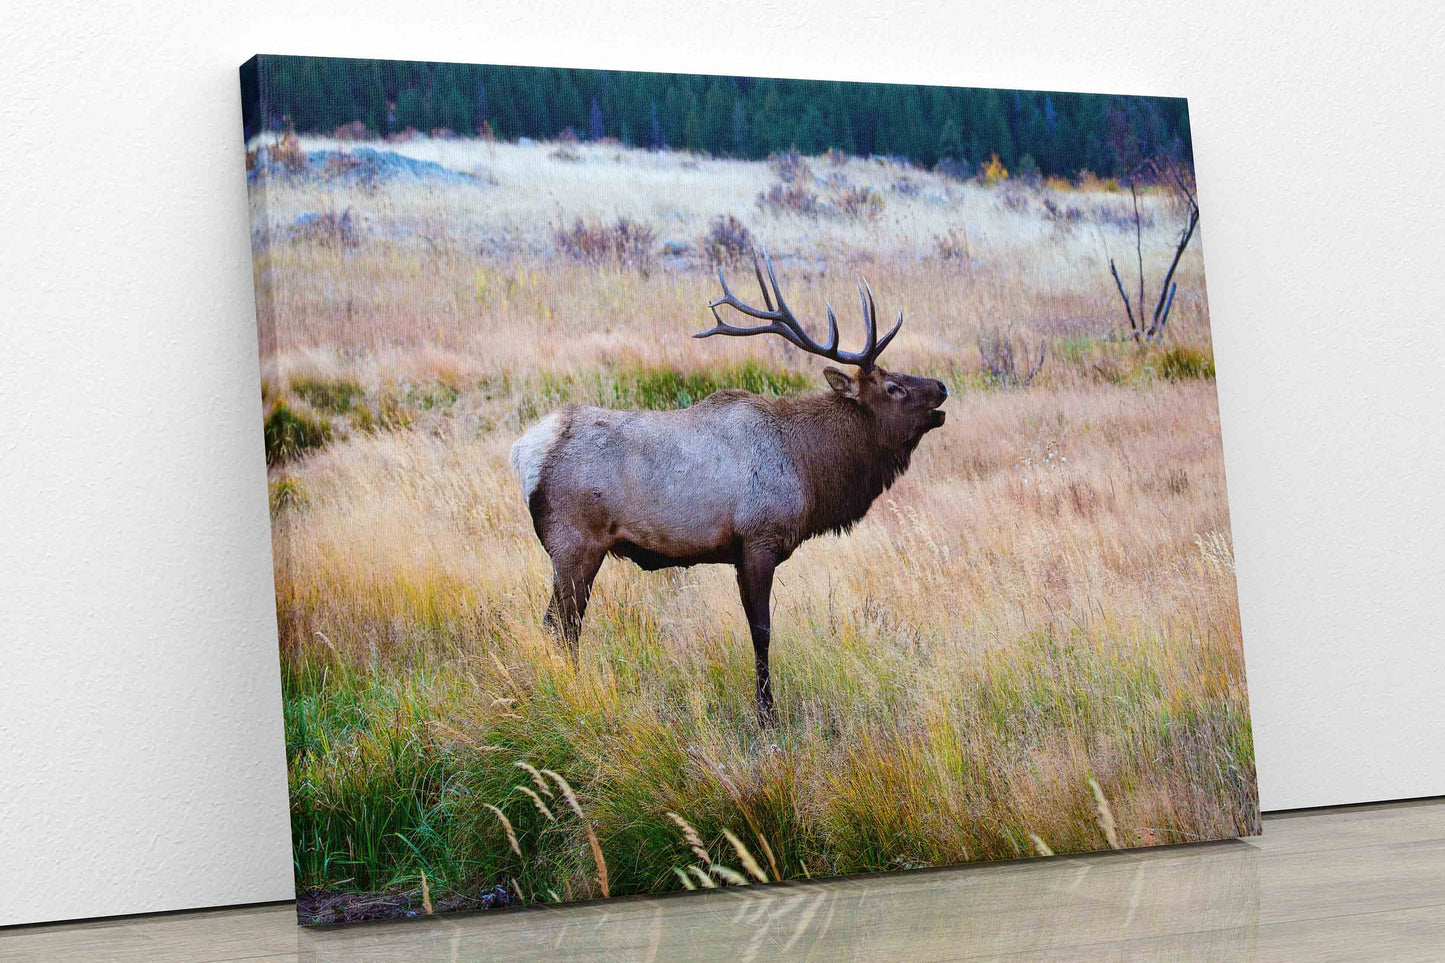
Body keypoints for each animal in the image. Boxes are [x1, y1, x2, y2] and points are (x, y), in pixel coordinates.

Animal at [511, 251, 947, 722]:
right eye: (894, 387)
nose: (941, 387)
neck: (810, 469)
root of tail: (524, 451)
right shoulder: (758, 539)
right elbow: (762, 632)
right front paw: (767, 714)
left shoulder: (739, 552)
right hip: (575, 543)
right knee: (559, 626)